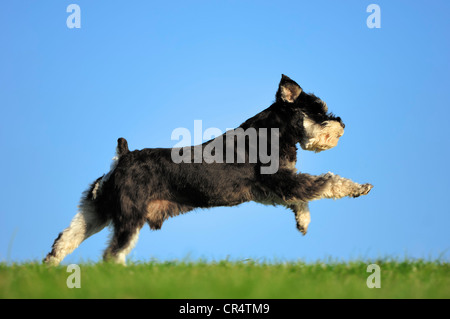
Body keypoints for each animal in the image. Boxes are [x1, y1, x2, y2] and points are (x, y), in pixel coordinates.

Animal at [44, 74, 372, 264]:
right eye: (318, 111)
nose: (342, 124)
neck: (273, 132)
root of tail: (121, 157)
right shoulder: (282, 182)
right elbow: (327, 182)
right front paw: (359, 188)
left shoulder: (271, 190)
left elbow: (302, 198)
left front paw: (303, 221)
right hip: (129, 217)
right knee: (113, 253)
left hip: (95, 211)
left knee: (65, 240)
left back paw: (51, 269)